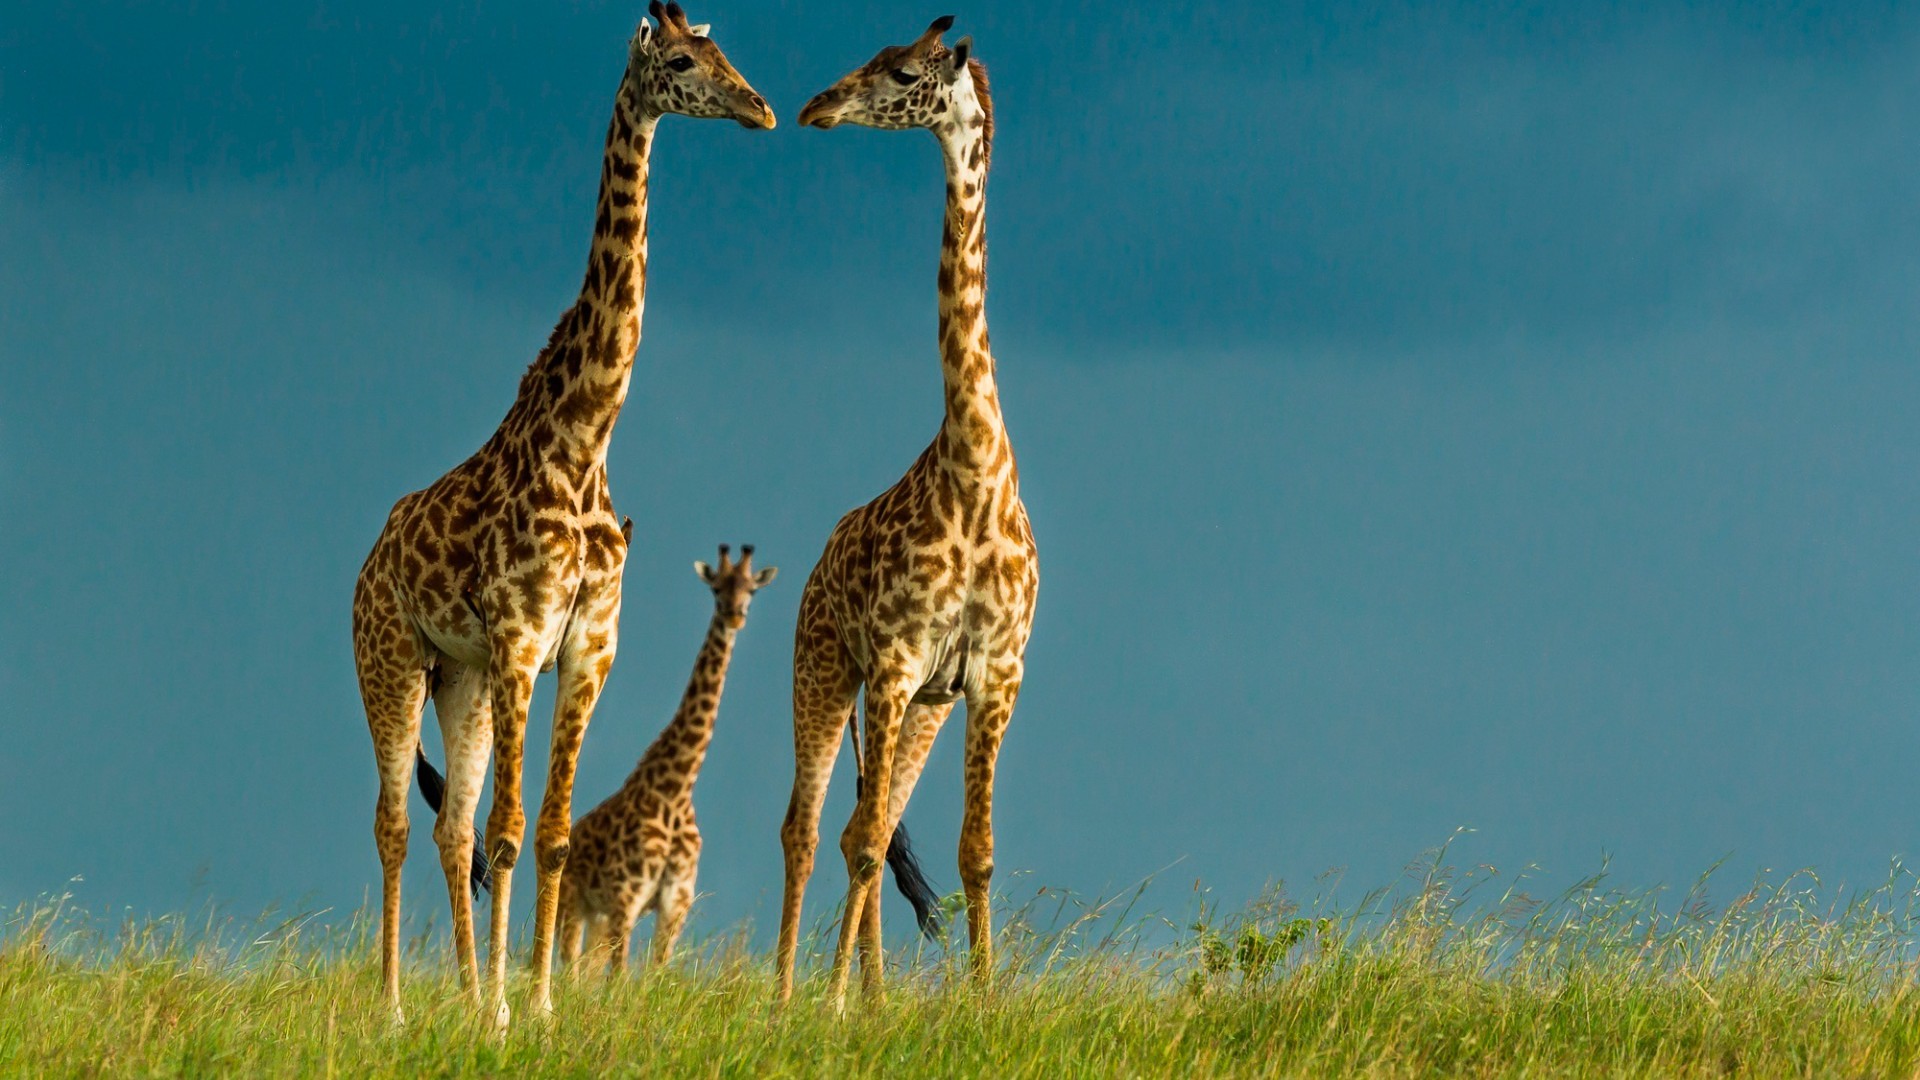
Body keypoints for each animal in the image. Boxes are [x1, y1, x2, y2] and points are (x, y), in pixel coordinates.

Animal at [555, 544, 776, 974]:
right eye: (717, 589)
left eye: (752, 591)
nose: (735, 616)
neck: (675, 789)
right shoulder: (627, 896)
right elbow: (621, 975)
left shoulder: (675, 902)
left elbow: (656, 971)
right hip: (574, 902)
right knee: (570, 965)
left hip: (598, 915)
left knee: (585, 969)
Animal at [779, 17, 1039, 1008]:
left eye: (899, 71)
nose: (816, 106)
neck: (975, 471)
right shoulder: (889, 663)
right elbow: (857, 846)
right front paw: (838, 1006)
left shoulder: (993, 675)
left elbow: (978, 852)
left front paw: (985, 1000)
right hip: (823, 668)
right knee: (814, 829)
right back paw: (798, 995)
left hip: (924, 701)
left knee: (874, 822)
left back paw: (868, 994)